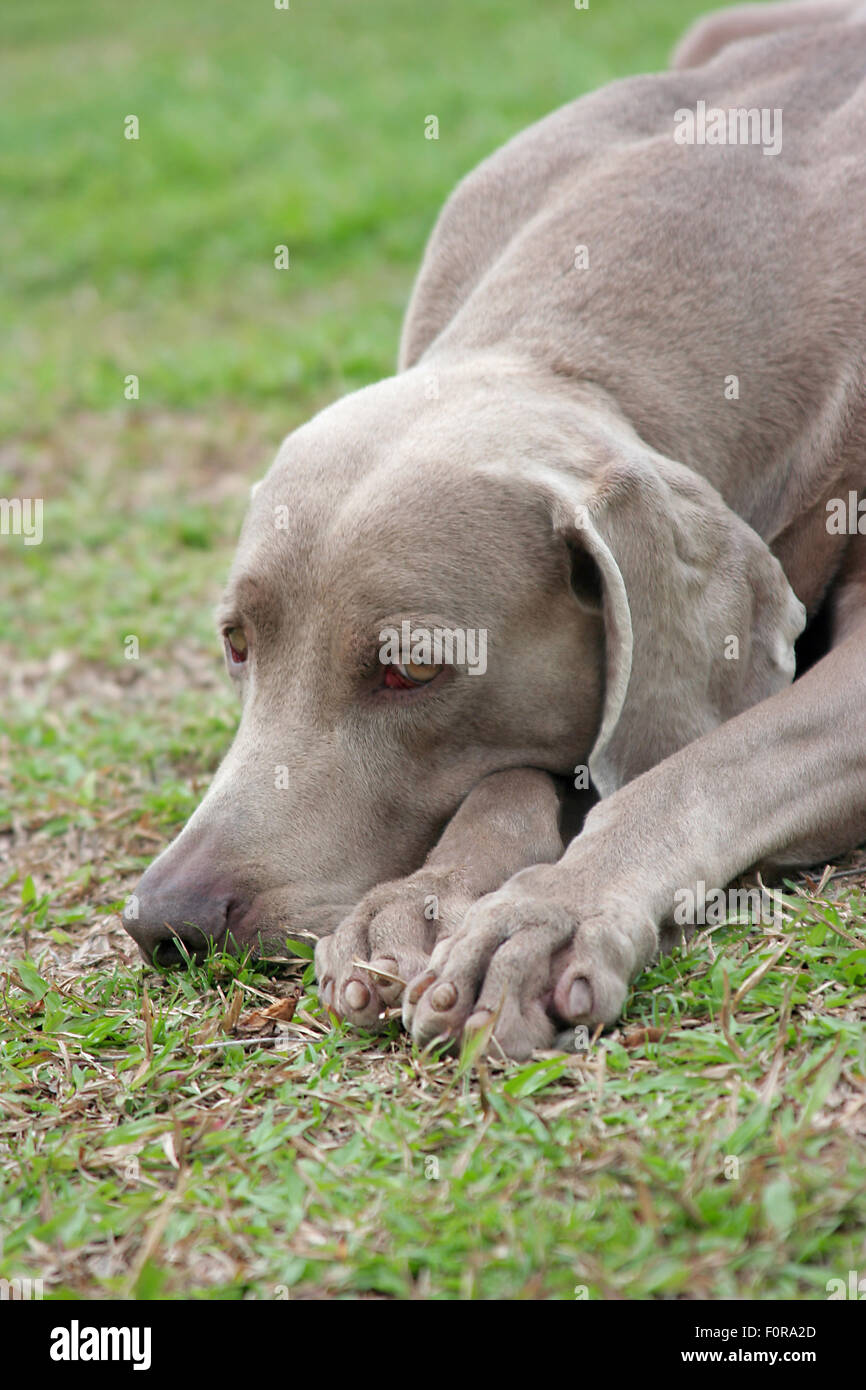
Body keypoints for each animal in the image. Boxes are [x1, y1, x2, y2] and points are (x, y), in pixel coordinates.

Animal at [122, 0, 866, 1056]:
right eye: (236, 643)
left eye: (410, 670)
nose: (167, 919)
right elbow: (513, 772)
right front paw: (419, 903)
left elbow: (699, 767)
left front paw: (546, 917)